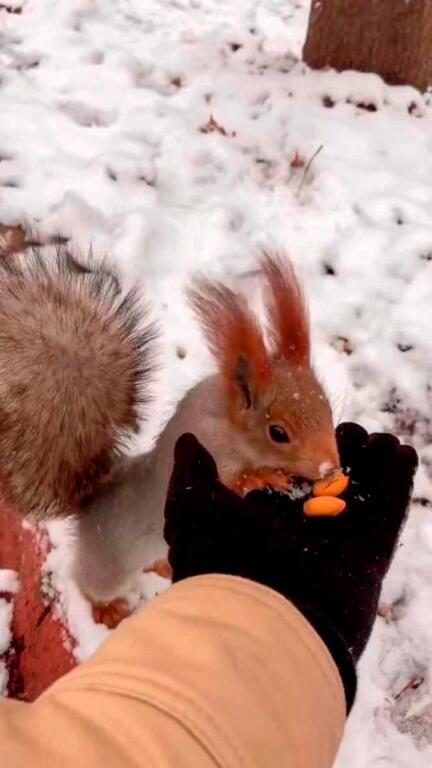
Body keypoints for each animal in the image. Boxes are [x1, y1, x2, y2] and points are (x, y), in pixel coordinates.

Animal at [0, 246, 340, 624]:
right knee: (91, 584)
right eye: (278, 433)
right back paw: (108, 609)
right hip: (109, 564)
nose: (330, 467)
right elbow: (233, 479)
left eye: (327, 408)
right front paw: (266, 477)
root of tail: (90, 504)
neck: (230, 426)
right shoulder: (210, 445)